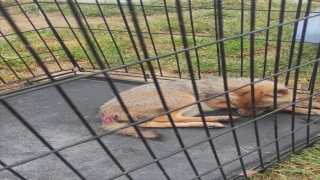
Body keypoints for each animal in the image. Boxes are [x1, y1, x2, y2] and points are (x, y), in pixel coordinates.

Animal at [99, 76, 318, 139]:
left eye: (258, 109)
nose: (242, 114)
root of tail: (103, 110)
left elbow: (298, 100)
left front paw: (312, 103)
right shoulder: (216, 102)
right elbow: (286, 106)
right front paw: (310, 109)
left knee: (156, 123)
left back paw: (215, 121)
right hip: (186, 99)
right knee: (166, 119)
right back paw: (217, 120)